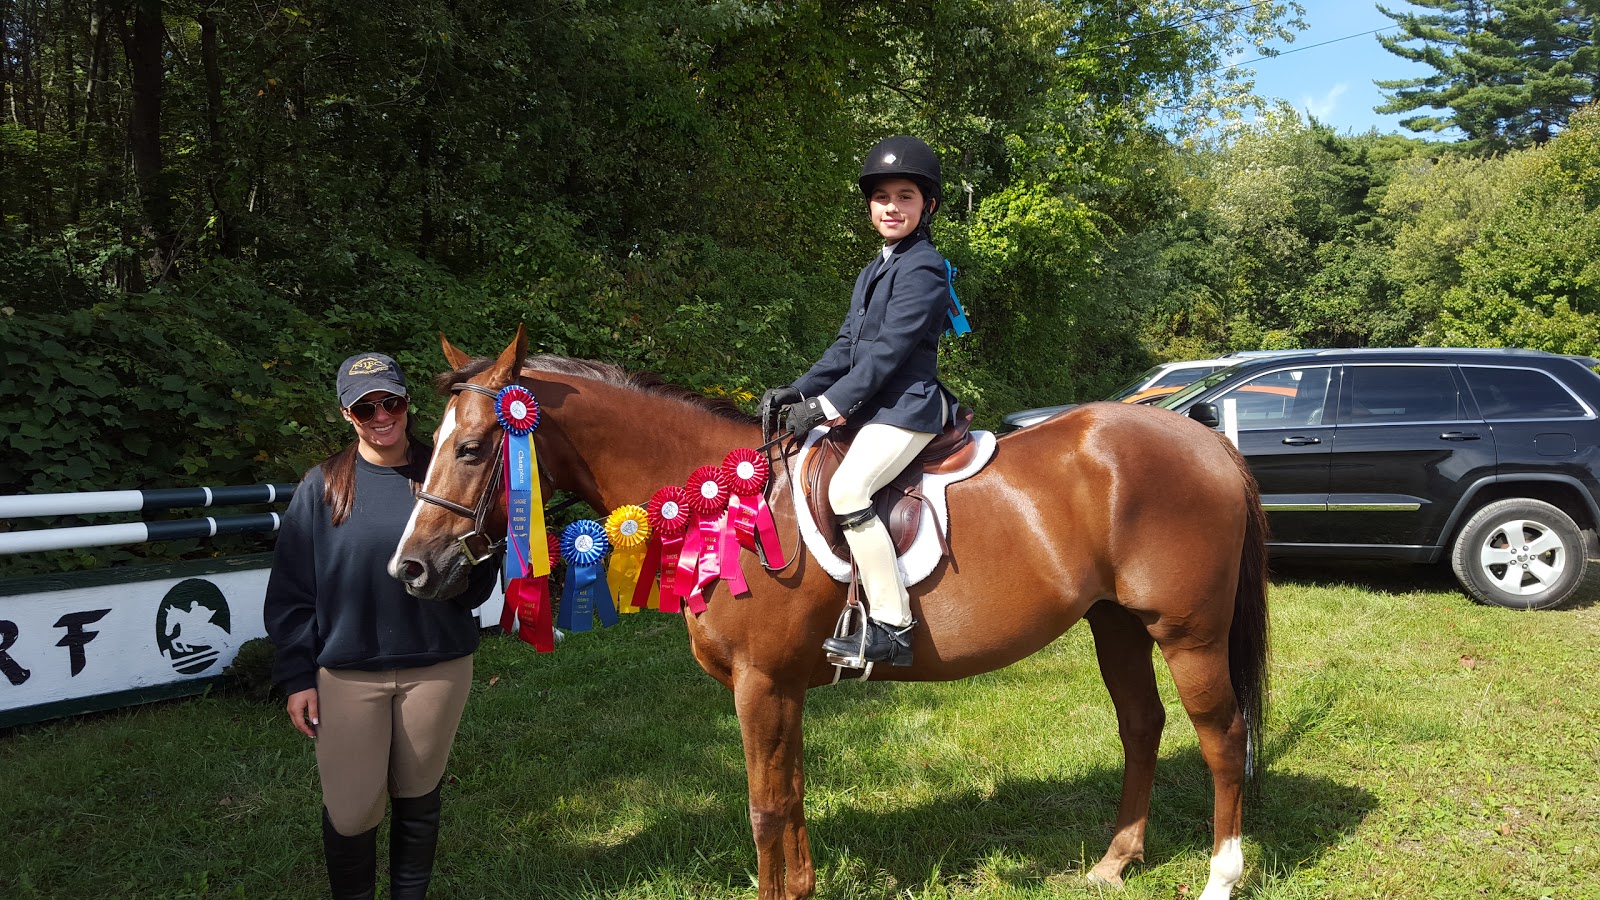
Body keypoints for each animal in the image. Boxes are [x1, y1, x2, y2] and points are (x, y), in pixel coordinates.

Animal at [390, 325, 1273, 890]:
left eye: (472, 448)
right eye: (429, 444)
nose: (413, 568)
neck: (731, 505)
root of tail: (1205, 439)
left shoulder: (761, 684)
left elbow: (765, 808)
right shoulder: (782, 689)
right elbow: (791, 797)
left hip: (1188, 634)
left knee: (1223, 738)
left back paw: (1220, 876)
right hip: (1116, 624)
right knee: (1142, 726)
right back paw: (1114, 863)